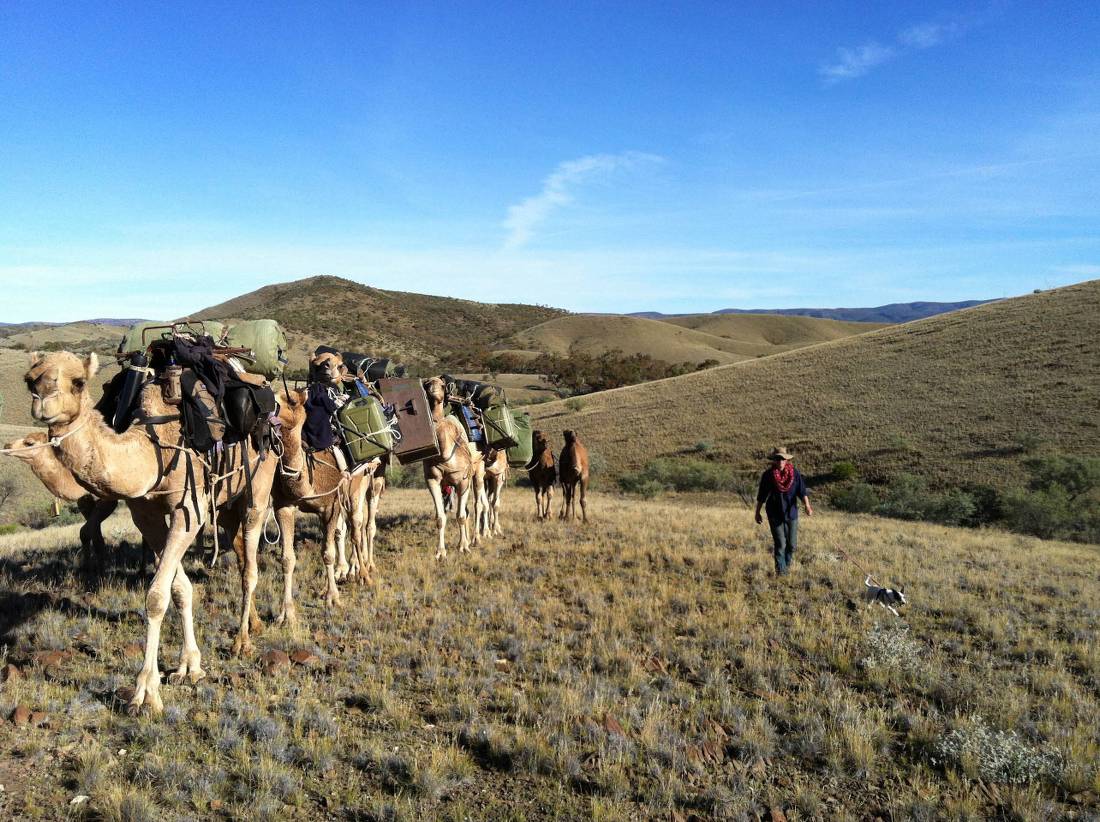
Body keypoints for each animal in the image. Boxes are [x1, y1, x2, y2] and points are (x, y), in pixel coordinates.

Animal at [23, 349, 277, 713]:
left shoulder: (189, 508)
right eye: (29, 379)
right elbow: (179, 589)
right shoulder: (145, 514)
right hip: (227, 501)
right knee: (241, 554)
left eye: (79, 382)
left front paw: (145, 692)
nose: (42, 399)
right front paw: (189, 666)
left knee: (251, 567)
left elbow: (156, 597)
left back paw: (241, 641)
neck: (152, 447)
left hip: (260, 483)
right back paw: (253, 622)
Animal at [418, 378, 475, 559]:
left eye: (443, 386)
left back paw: (472, 541)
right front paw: (440, 552)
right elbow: (440, 517)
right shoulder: (432, 480)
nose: (434, 390)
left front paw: (463, 547)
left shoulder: (463, 481)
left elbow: (461, 516)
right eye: (427, 384)